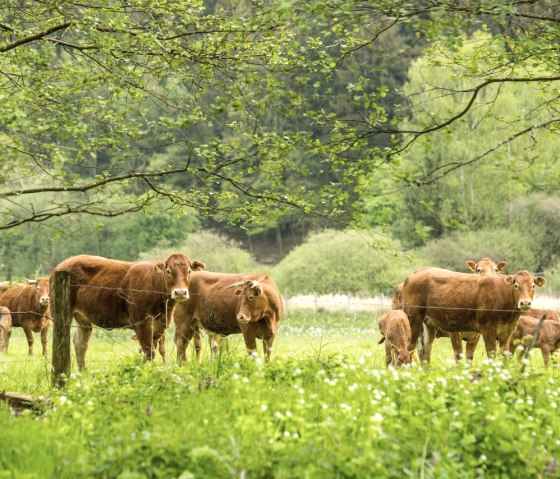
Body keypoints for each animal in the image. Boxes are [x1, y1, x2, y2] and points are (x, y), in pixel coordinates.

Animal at [51, 253, 205, 370]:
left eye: (189, 271)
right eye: (168, 271)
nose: (180, 292)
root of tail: (63, 264)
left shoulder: (159, 323)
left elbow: (151, 350)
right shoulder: (140, 322)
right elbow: (149, 351)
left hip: (83, 319)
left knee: (80, 344)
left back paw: (83, 373)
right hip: (61, 313)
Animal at [402, 268, 548, 362]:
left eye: (533, 285)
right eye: (516, 285)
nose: (525, 303)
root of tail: (411, 277)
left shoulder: (506, 333)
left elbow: (503, 358)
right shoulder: (487, 330)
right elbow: (491, 355)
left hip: (429, 324)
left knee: (425, 350)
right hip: (413, 319)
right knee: (409, 347)